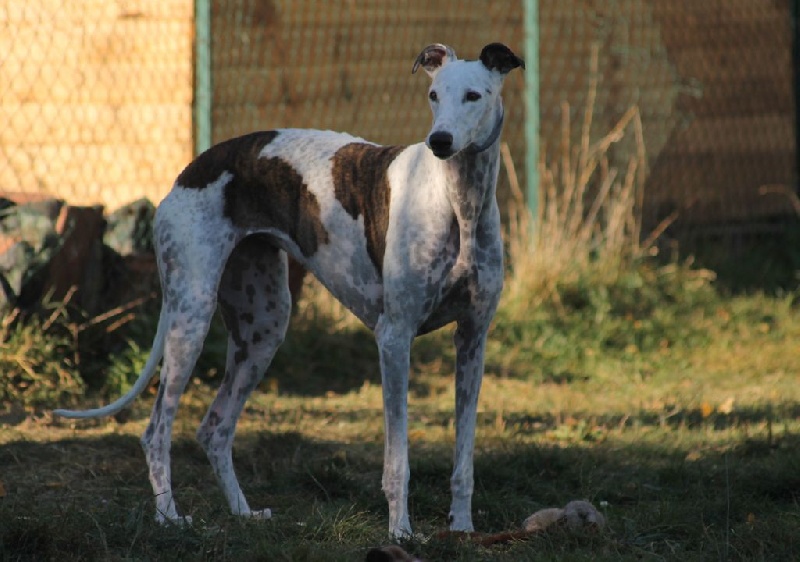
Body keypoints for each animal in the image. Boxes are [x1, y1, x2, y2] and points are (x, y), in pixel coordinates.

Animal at [55, 42, 524, 538]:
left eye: (474, 95)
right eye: (434, 95)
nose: (440, 142)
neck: (459, 203)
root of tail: (188, 171)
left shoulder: (472, 340)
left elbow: (464, 457)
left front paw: (463, 527)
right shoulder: (394, 339)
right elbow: (398, 460)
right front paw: (400, 531)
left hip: (263, 327)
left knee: (213, 428)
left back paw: (242, 512)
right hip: (191, 317)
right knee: (156, 429)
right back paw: (168, 516)